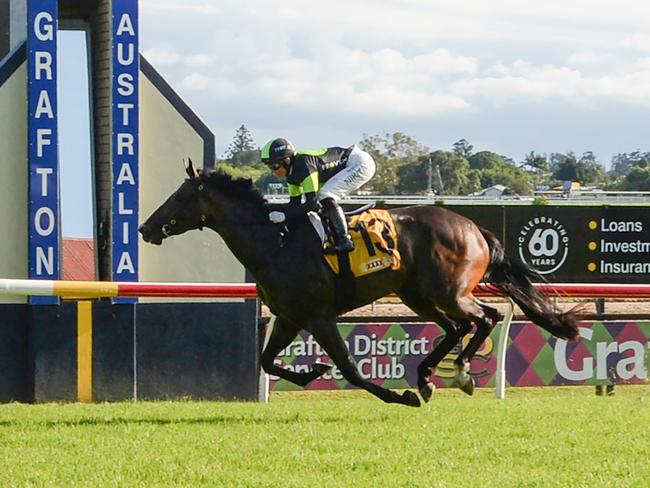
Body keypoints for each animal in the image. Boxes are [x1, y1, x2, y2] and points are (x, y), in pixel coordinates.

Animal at [138, 161, 576, 408]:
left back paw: (460, 373)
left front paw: (398, 396)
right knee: (457, 327)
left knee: (485, 317)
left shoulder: (319, 317)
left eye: (180, 197)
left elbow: (349, 367)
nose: (145, 228)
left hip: (447, 291)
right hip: (416, 294)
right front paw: (311, 371)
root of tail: (474, 227)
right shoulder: (289, 317)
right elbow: (265, 360)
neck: (274, 242)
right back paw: (428, 376)